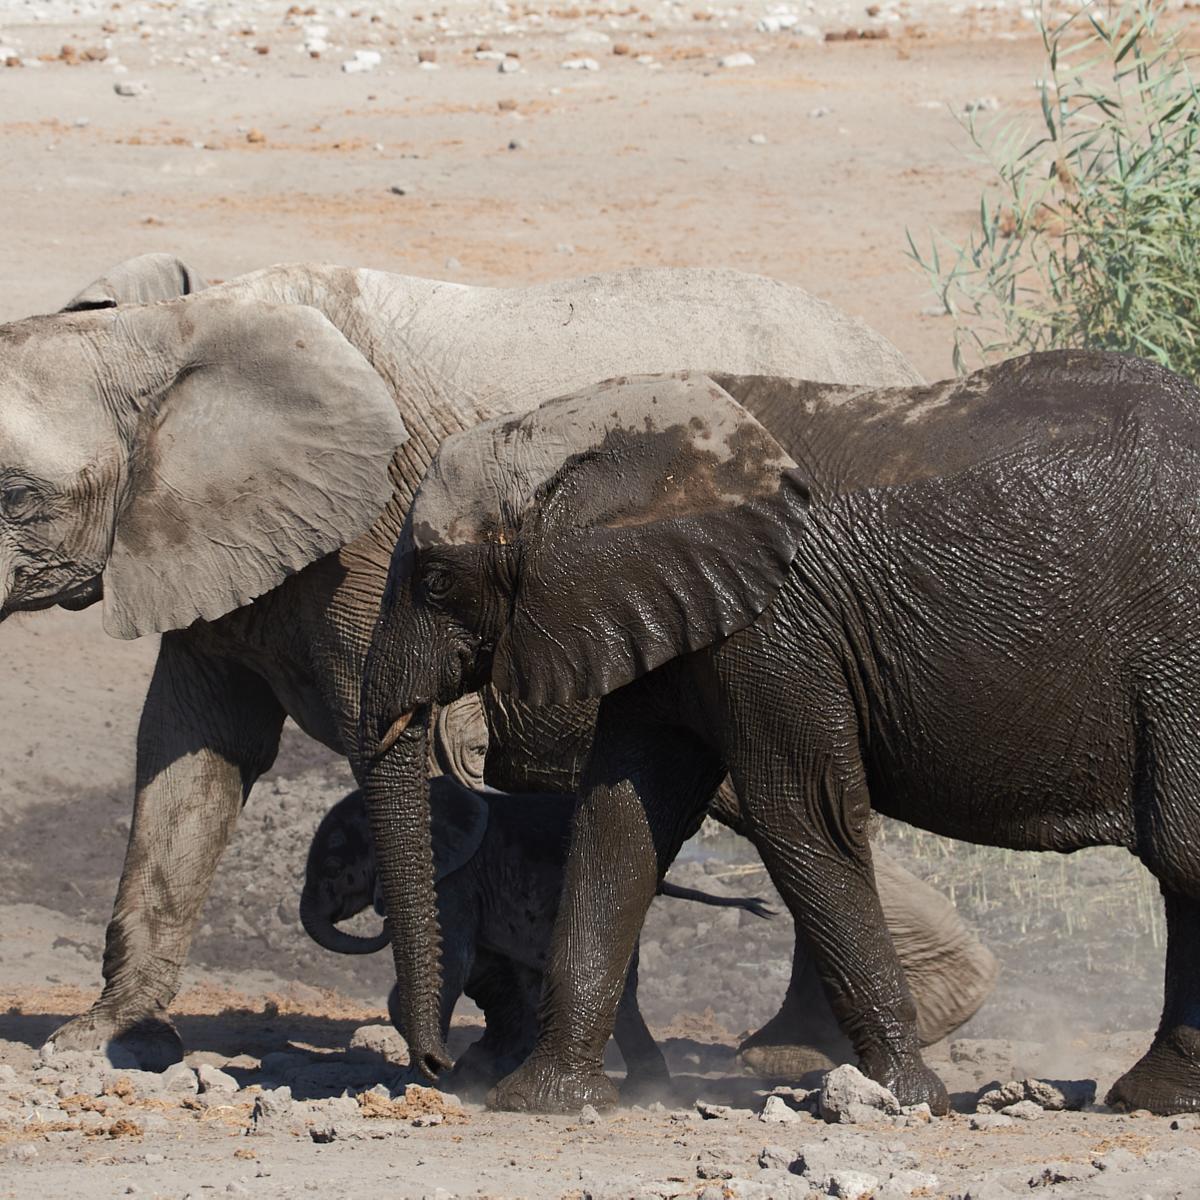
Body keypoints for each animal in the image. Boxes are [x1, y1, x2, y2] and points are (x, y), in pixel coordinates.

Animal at [300, 780, 774, 1092]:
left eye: (334, 869)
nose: (377, 922)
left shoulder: (453, 881)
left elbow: (452, 965)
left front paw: (429, 1073)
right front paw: (457, 1069)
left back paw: (643, 1091)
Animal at [358, 354, 1200, 1118]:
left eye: (436, 580)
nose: (435, 1067)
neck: (602, 429)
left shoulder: (777, 630)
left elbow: (804, 815)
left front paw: (908, 1099)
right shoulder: (672, 616)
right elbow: (620, 822)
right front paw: (544, 1102)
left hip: (1177, 658)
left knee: (1182, 851)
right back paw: (1158, 1099)